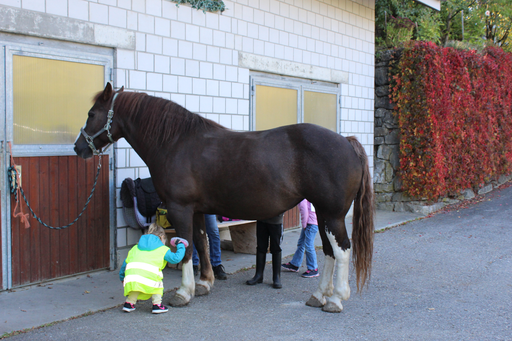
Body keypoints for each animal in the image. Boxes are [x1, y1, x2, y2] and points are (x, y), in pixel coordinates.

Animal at [74, 82, 374, 310]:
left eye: (91, 113)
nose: (78, 148)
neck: (175, 142)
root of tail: (347, 142)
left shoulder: (179, 208)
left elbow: (186, 248)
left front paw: (183, 293)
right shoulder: (195, 210)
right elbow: (201, 243)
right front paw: (204, 283)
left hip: (332, 215)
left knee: (342, 250)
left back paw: (335, 299)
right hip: (323, 214)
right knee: (329, 251)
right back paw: (319, 295)